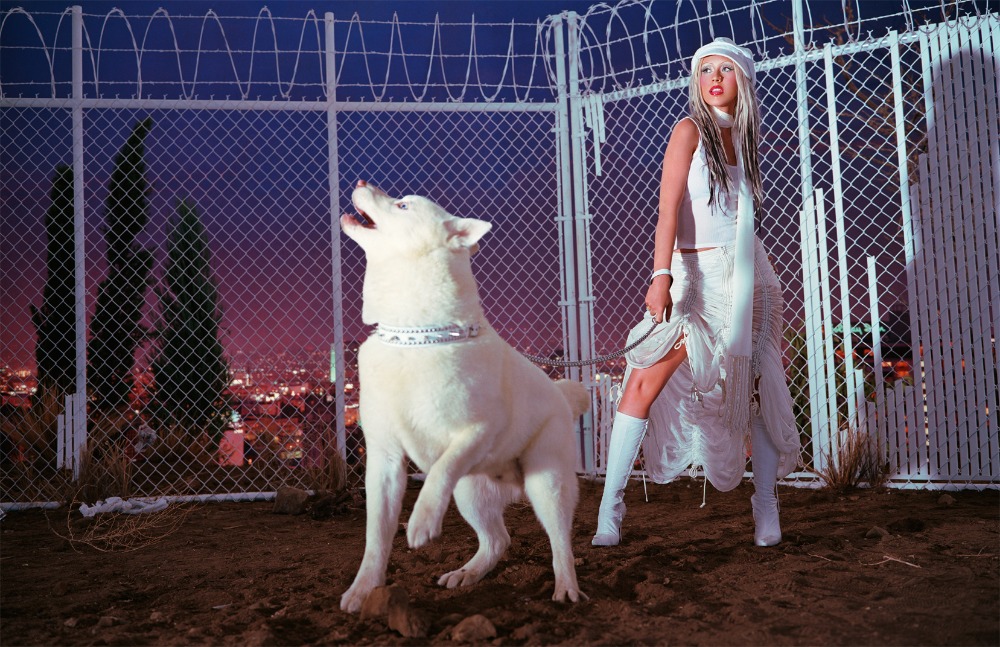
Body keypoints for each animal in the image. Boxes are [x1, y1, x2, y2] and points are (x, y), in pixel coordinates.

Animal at [339, 180, 589, 613]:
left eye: (402, 205)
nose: (361, 183)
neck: (414, 338)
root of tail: (562, 394)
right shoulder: (384, 460)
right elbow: (376, 538)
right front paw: (364, 589)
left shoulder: (479, 431)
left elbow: (441, 468)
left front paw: (422, 520)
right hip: (471, 492)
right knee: (498, 540)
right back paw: (468, 573)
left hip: (547, 483)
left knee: (561, 543)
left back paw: (566, 587)